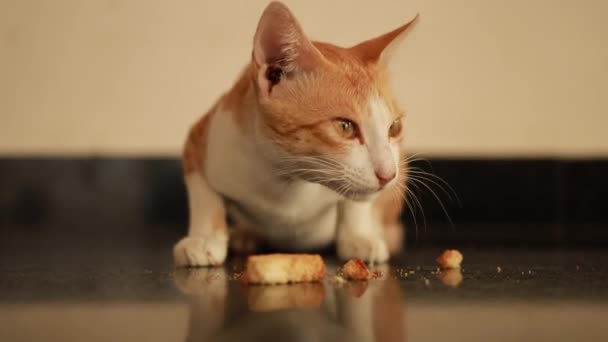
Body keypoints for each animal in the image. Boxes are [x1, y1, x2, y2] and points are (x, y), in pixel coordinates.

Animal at [173, 2, 416, 268]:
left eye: (394, 128)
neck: (287, 178)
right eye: (345, 126)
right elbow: (204, 195)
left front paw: (359, 237)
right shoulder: (205, 135)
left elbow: (356, 204)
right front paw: (204, 238)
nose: (388, 174)